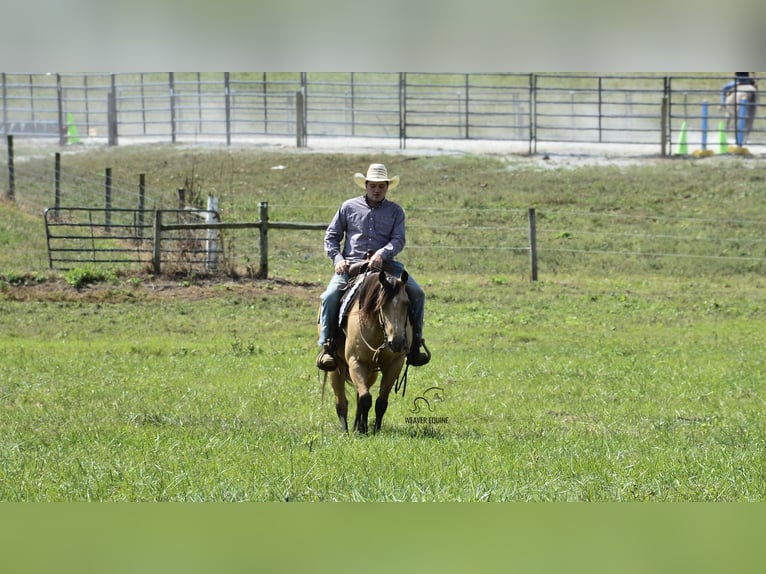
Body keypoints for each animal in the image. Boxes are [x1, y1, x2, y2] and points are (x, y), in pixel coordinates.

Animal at [326, 268, 412, 434]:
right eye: (381, 305)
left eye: (407, 303)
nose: (397, 342)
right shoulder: (356, 362)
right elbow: (366, 398)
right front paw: (365, 430)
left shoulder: (394, 365)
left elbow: (380, 402)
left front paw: (374, 430)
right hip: (336, 368)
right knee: (341, 402)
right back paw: (346, 431)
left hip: (371, 372)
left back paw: (357, 428)